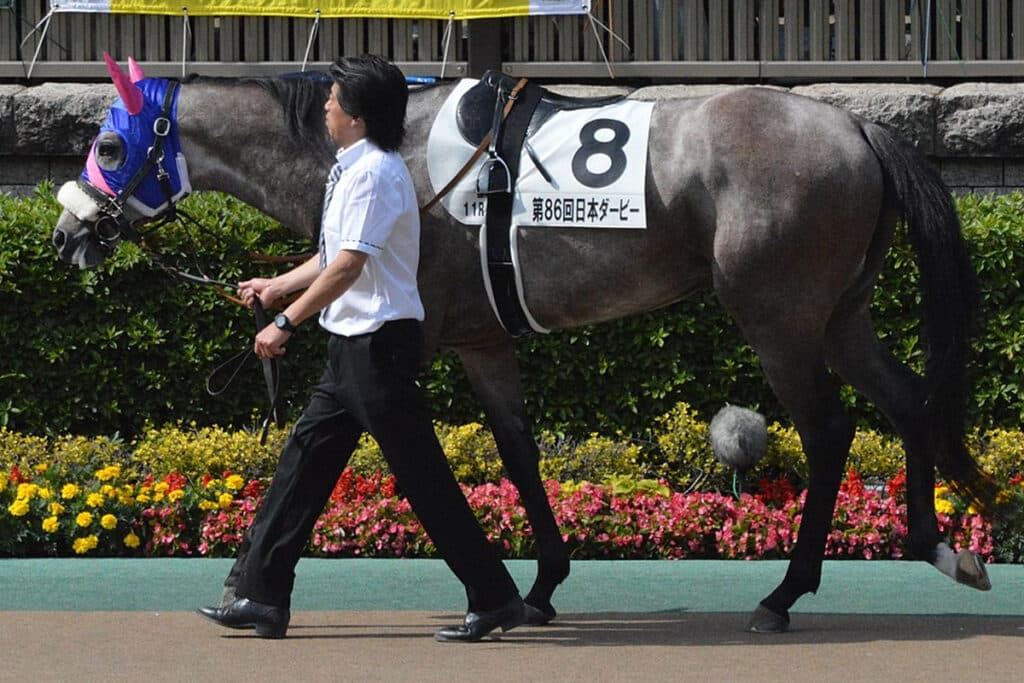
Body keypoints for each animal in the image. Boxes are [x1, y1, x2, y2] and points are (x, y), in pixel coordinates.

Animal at [52, 56, 996, 633]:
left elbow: (353, 432)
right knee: (909, 401)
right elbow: (516, 450)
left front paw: (253, 585)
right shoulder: (479, 338)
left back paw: (784, 591)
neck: (391, 149)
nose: (66, 234)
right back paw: (940, 545)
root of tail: (857, 129)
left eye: (110, 144)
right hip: (839, 315)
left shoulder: (407, 333)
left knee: (831, 432)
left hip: (778, 319)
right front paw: (538, 585)